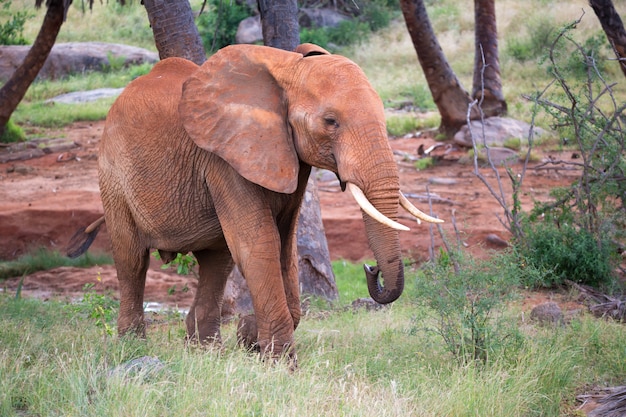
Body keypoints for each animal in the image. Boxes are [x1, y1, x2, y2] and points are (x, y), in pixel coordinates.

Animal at [67, 43, 438, 360]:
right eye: (331, 122)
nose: (371, 269)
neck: (289, 67)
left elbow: (284, 247)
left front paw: (250, 338)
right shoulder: (225, 158)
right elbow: (259, 245)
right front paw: (281, 364)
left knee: (216, 262)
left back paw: (205, 351)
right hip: (112, 175)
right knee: (132, 259)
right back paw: (134, 348)